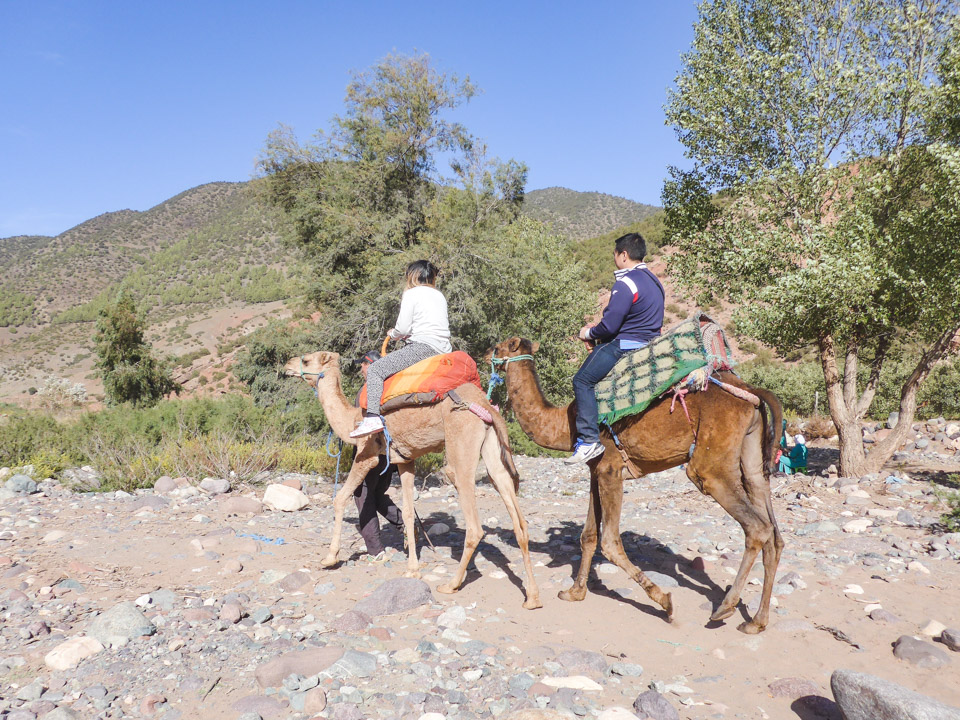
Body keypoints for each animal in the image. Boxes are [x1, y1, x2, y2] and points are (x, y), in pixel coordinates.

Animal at [282, 352, 544, 612]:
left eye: (306, 360)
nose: (287, 365)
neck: (351, 420)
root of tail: (487, 404)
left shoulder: (367, 454)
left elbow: (340, 498)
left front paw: (329, 558)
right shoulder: (406, 460)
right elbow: (408, 512)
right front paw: (412, 569)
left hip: (461, 443)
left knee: (474, 524)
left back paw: (451, 584)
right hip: (493, 449)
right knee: (516, 513)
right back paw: (532, 598)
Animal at [492, 338, 784, 632]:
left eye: (497, 347)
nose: (484, 355)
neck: (565, 424)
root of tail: (752, 393)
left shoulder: (611, 470)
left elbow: (609, 542)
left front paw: (665, 602)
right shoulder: (596, 471)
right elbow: (588, 535)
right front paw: (574, 592)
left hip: (711, 465)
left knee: (756, 526)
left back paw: (724, 607)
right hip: (752, 460)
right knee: (773, 532)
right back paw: (756, 621)